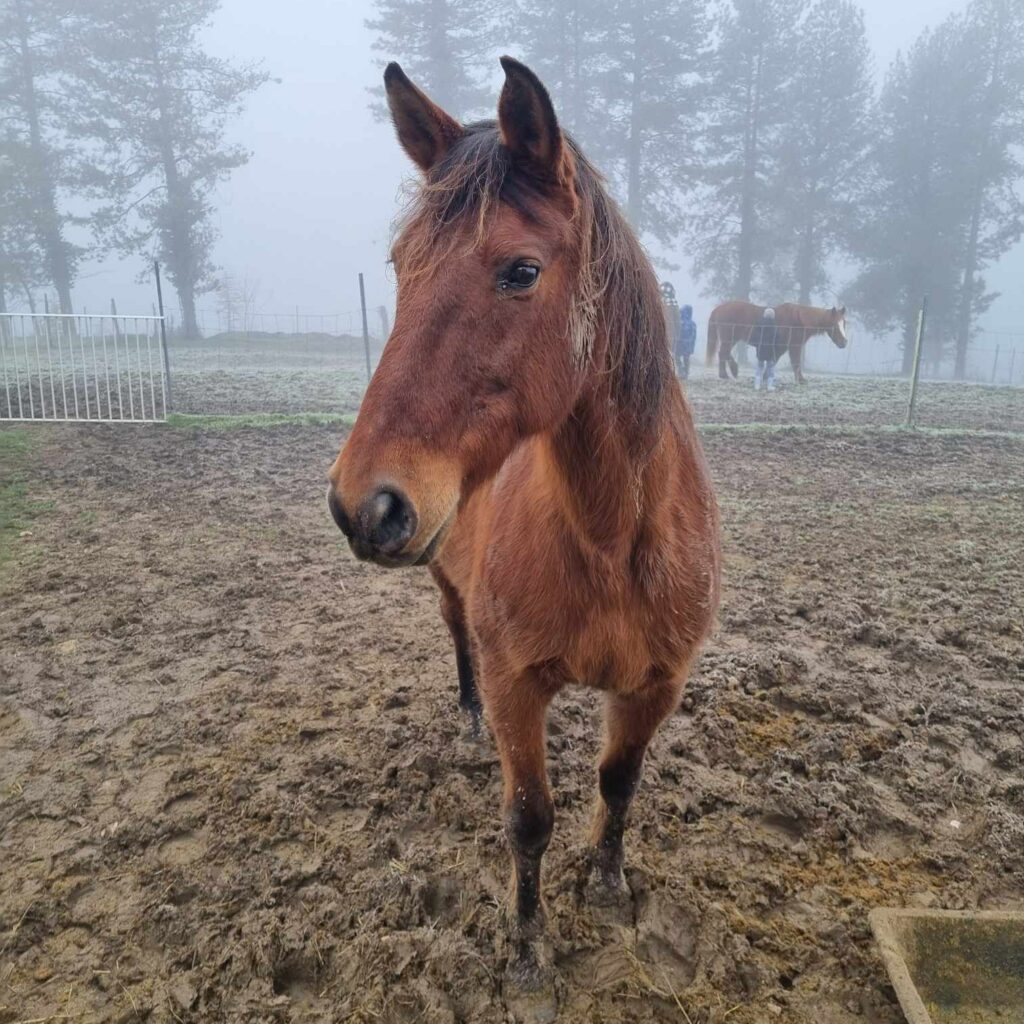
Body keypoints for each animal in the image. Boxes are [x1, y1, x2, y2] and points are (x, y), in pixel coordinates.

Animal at [327, 59, 720, 987]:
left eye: (520, 271)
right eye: (400, 265)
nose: (363, 503)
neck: (612, 542)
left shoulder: (656, 685)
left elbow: (618, 785)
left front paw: (609, 884)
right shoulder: (517, 684)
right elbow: (530, 818)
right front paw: (527, 944)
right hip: (445, 584)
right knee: (455, 636)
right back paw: (466, 720)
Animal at [704, 303, 847, 387]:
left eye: (844, 323)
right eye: (835, 325)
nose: (844, 342)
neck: (799, 321)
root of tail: (718, 308)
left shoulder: (781, 347)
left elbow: (774, 361)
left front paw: (765, 377)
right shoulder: (794, 346)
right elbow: (796, 363)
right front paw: (801, 380)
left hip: (732, 339)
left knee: (724, 353)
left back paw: (731, 371)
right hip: (729, 338)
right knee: (723, 353)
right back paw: (726, 374)